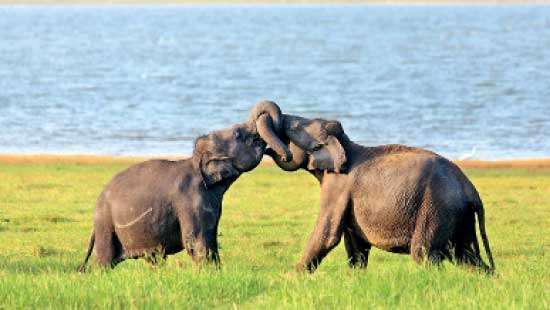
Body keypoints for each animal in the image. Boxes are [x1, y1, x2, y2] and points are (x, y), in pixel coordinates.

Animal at [78, 100, 294, 270]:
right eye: (238, 133)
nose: (285, 155)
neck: (196, 160)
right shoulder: (189, 201)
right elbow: (196, 242)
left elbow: (211, 240)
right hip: (106, 224)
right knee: (104, 261)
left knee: (154, 258)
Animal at [252, 101, 498, 274]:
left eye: (293, 127)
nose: (266, 148)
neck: (346, 145)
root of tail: (470, 189)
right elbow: (356, 246)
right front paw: (354, 279)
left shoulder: (338, 187)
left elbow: (327, 235)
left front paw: (289, 278)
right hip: (460, 215)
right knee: (466, 256)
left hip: (436, 208)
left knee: (424, 254)